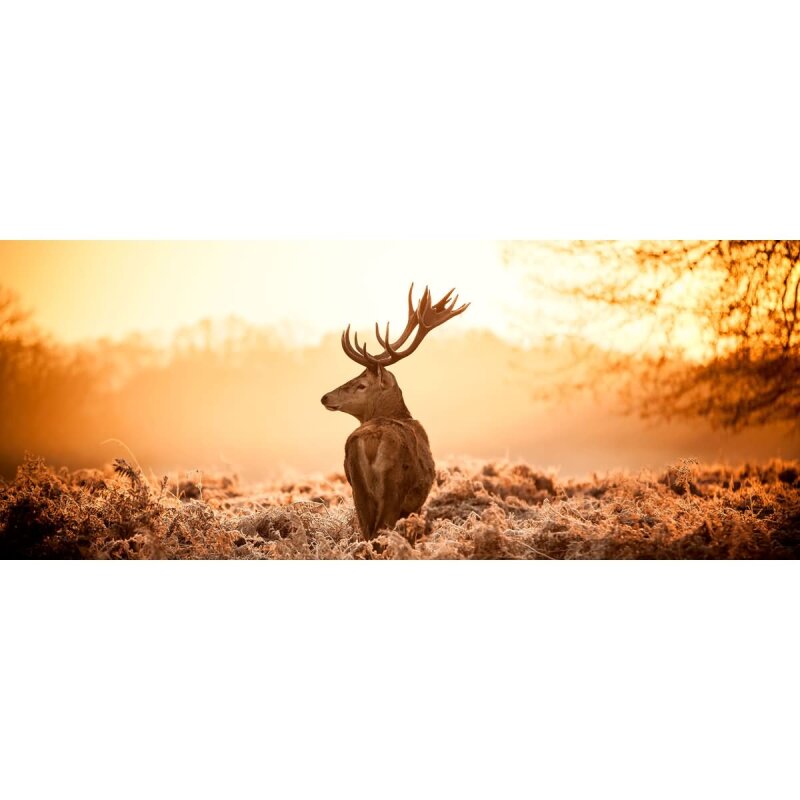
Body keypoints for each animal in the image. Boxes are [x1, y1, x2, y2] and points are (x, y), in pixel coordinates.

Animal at [321, 285, 469, 539]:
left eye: (361, 384)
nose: (325, 397)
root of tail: (371, 440)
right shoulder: (415, 504)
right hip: (394, 488)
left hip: (358, 489)